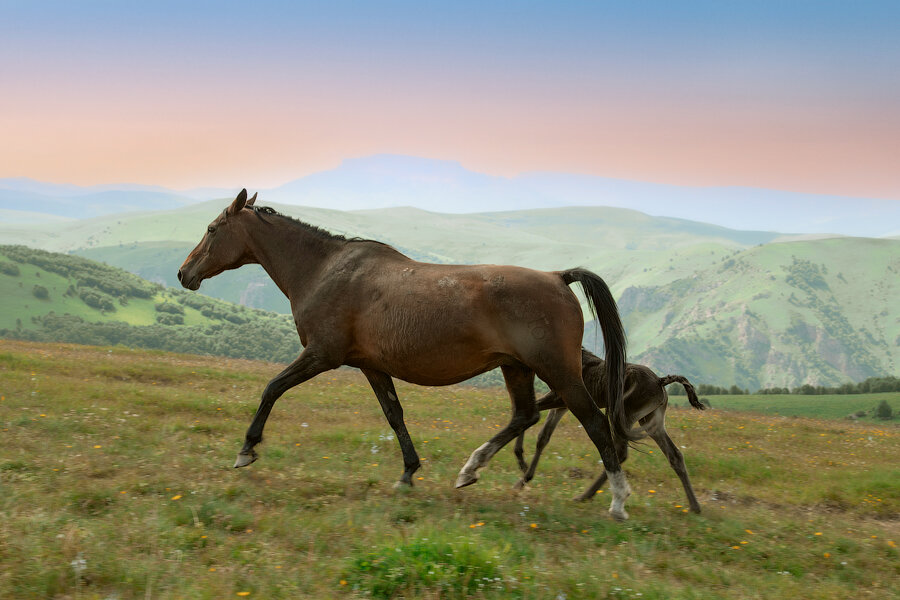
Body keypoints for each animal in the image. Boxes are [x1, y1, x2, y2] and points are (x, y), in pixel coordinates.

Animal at [178, 190, 640, 516]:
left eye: (213, 229)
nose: (184, 273)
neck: (325, 270)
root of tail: (559, 277)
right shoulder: (371, 367)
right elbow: (394, 415)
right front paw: (408, 473)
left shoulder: (321, 355)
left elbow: (272, 389)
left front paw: (246, 450)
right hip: (517, 368)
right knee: (523, 416)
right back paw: (470, 469)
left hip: (558, 371)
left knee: (595, 425)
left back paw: (618, 501)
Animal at [512, 350, 704, 512]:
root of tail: (660, 381)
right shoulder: (562, 405)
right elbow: (543, 436)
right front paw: (524, 475)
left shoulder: (559, 397)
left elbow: (532, 411)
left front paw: (521, 461)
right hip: (651, 422)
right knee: (674, 455)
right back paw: (695, 507)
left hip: (623, 414)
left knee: (620, 452)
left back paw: (585, 496)